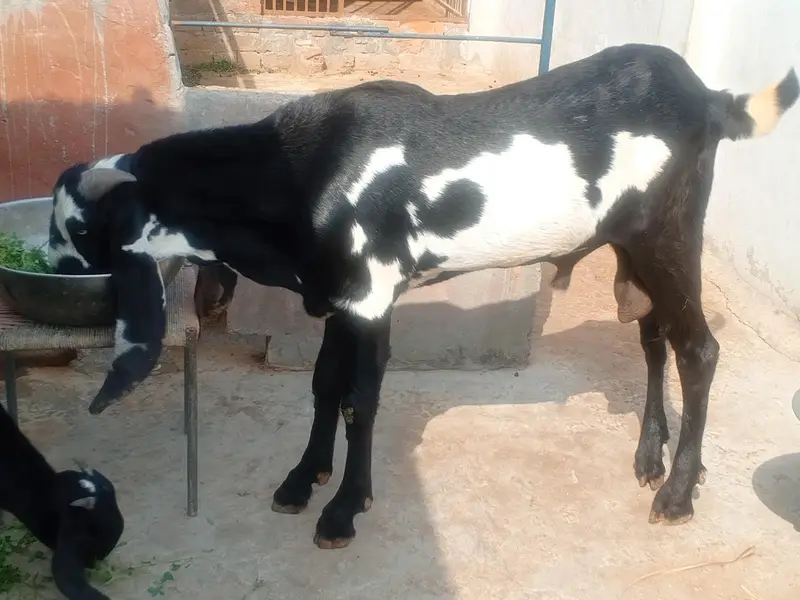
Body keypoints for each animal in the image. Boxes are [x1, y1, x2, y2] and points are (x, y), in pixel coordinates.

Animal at [46, 43, 798, 549]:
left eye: (79, 230)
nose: (50, 267)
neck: (302, 169)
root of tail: (708, 95)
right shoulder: (340, 295)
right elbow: (323, 385)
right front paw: (301, 480)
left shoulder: (374, 293)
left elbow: (359, 398)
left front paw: (344, 509)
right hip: (634, 250)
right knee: (651, 336)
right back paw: (648, 458)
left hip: (669, 236)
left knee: (698, 350)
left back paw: (677, 491)